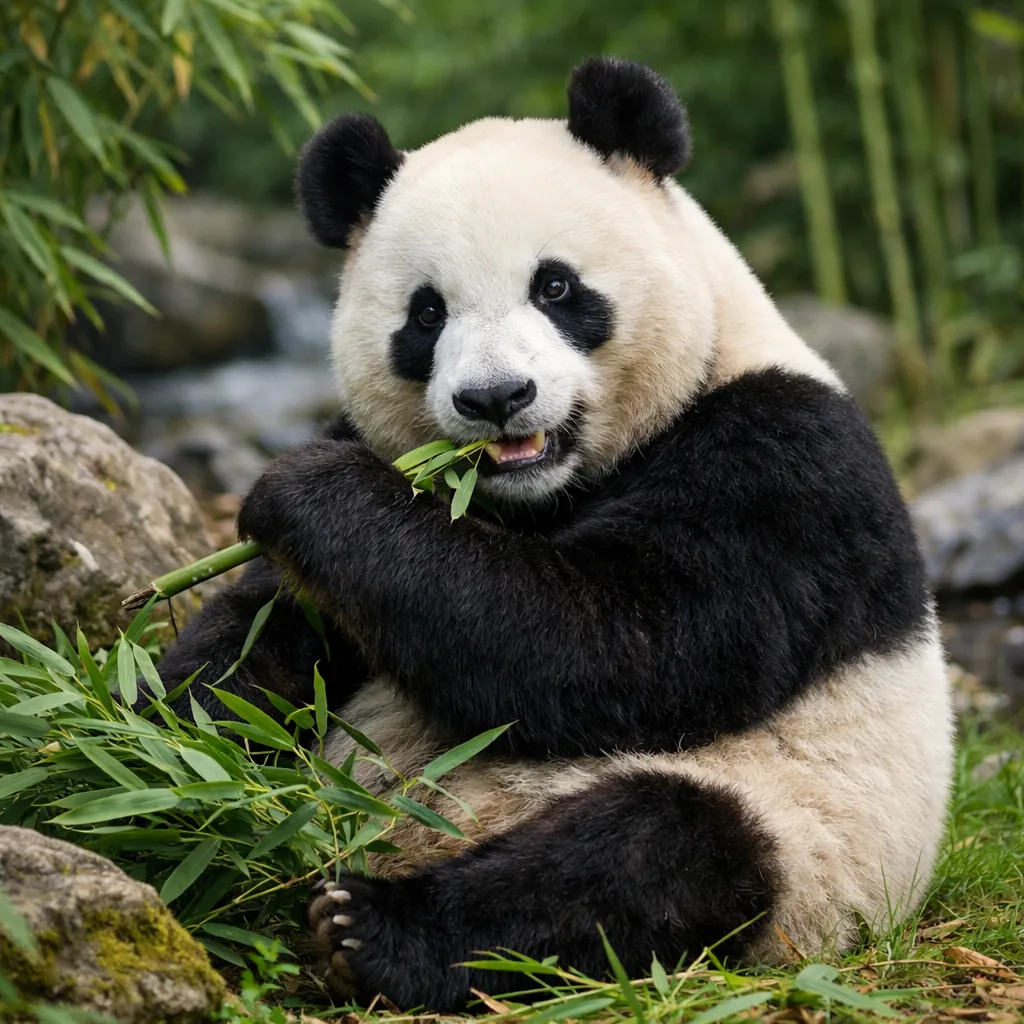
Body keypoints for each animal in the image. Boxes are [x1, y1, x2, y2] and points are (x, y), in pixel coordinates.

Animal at [156, 57, 954, 1013]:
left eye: (557, 286)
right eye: (426, 314)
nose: (496, 397)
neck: (536, 496)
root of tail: (400, 833)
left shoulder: (788, 467)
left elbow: (615, 645)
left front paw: (301, 489)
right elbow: (267, 641)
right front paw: (148, 746)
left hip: (801, 828)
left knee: (648, 854)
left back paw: (375, 930)